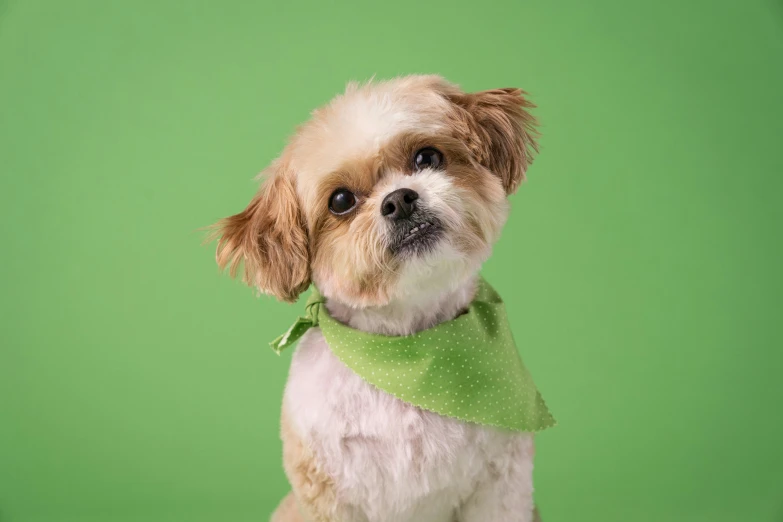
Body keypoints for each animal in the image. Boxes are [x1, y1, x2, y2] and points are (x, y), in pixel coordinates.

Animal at [211, 75, 548, 520]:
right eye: (340, 201)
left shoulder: (501, 482)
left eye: (427, 157)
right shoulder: (326, 491)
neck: (408, 352)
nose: (399, 199)